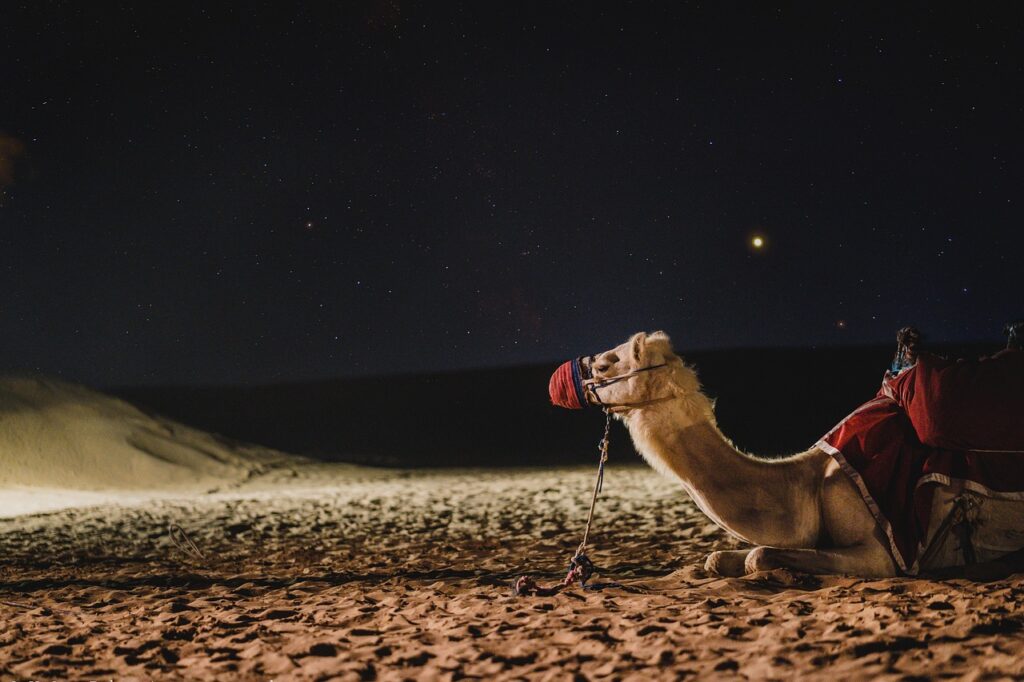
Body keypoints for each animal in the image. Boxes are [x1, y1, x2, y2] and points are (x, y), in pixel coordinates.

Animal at [578, 331, 1024, 578]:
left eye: (607, 364)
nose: (581, 369)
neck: (804, 485)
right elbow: (717, 559)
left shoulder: (884, 551)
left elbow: (758, 555)